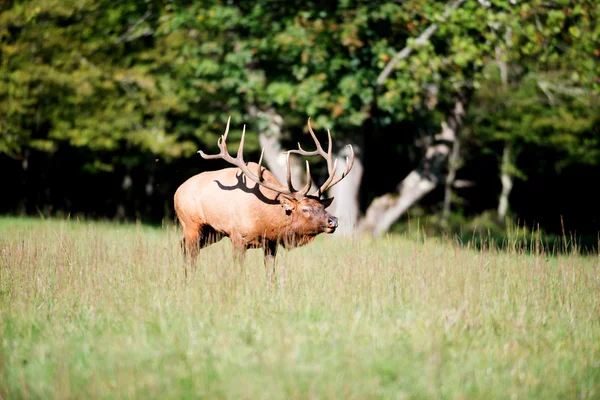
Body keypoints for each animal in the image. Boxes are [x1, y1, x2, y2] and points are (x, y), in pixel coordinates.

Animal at [172, 116, 352, 278]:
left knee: (183, 246)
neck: (265, 219)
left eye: (322, 206)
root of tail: (177, 191)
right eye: (305, 209)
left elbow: (271, 273)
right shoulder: (238, 237)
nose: (333, 221)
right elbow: (239, 272)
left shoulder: (271, 242)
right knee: (191, 252)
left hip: (212, 232)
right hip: (191, 224)